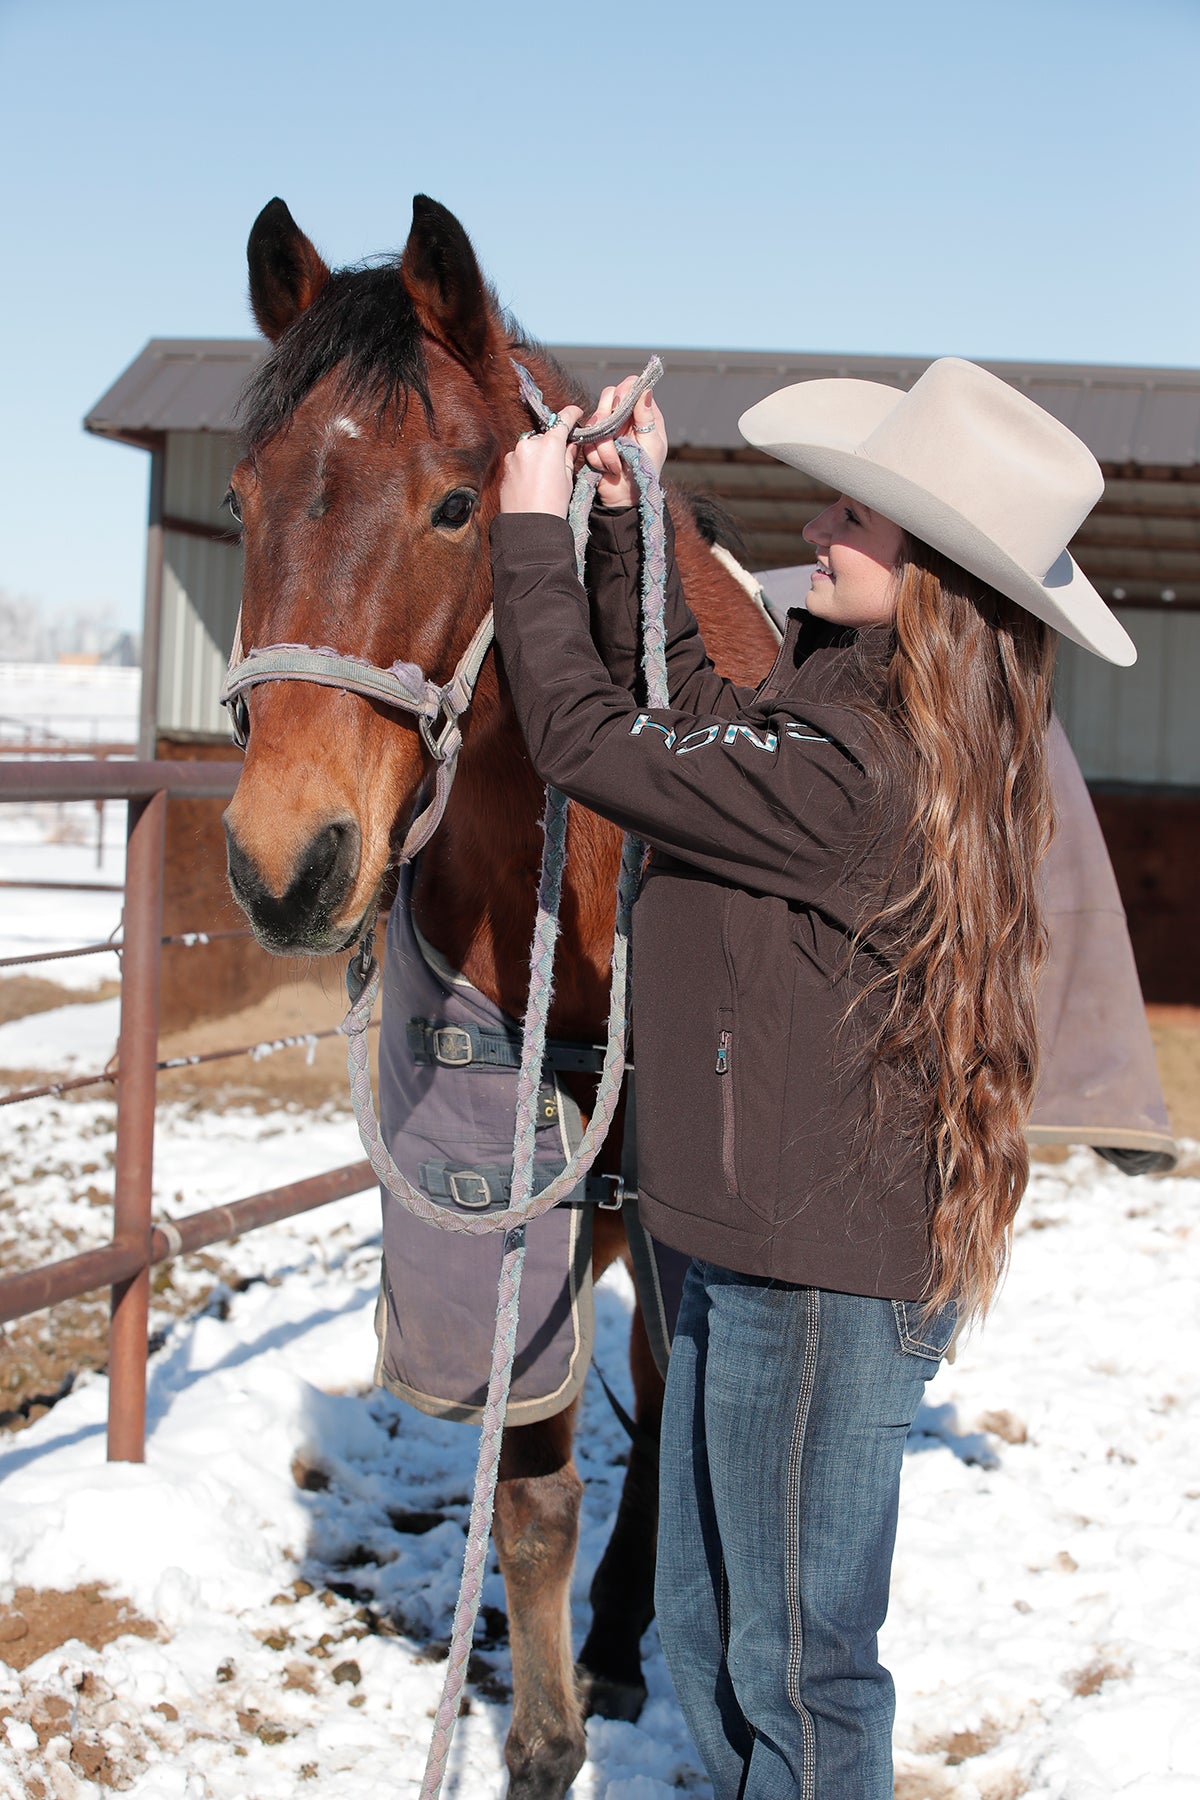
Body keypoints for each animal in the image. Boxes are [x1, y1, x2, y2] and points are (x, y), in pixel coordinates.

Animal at [222, 197, 780, 1800]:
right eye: (241, 498)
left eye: (458, 505)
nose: (285, 861)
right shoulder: (501, 1180)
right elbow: (527, 1502)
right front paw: (542, 1741)